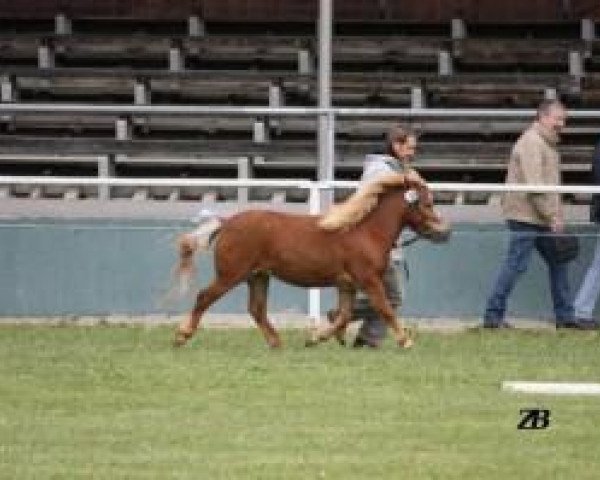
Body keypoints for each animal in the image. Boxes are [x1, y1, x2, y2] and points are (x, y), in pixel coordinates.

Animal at [171, 172, 448, 348]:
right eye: (426, 203)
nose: (444, 232)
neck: (365, 231)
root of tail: (227, 222)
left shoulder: (346, 284)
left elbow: (344, 315)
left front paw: (316, 339)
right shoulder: (368, 280)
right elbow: (385, 308)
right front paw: (406, 341)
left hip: (258, 276)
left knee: (257, 309)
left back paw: (276, 343)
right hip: (231, 275)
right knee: (204, 297)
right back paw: (182, 336)